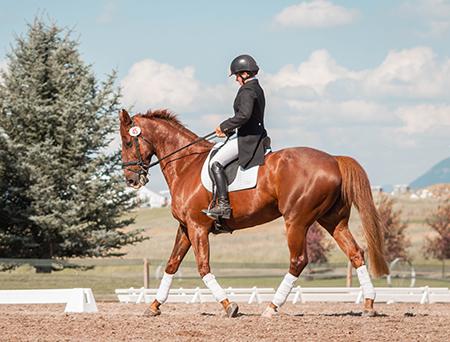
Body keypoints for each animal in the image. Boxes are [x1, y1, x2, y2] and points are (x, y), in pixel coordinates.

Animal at [119, 107, 390, 318]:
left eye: (127, 141)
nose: (131, 180)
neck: (186, 165)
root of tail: (334, 160)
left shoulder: (198, 227)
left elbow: (203, 267)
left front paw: (229, 306)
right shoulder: (186, 227)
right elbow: (172, 264)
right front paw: (154, 306)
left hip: (296, 221)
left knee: (298, 260)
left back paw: (272, 307)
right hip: (333, 221)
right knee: (355, 253)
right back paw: (369, 304)